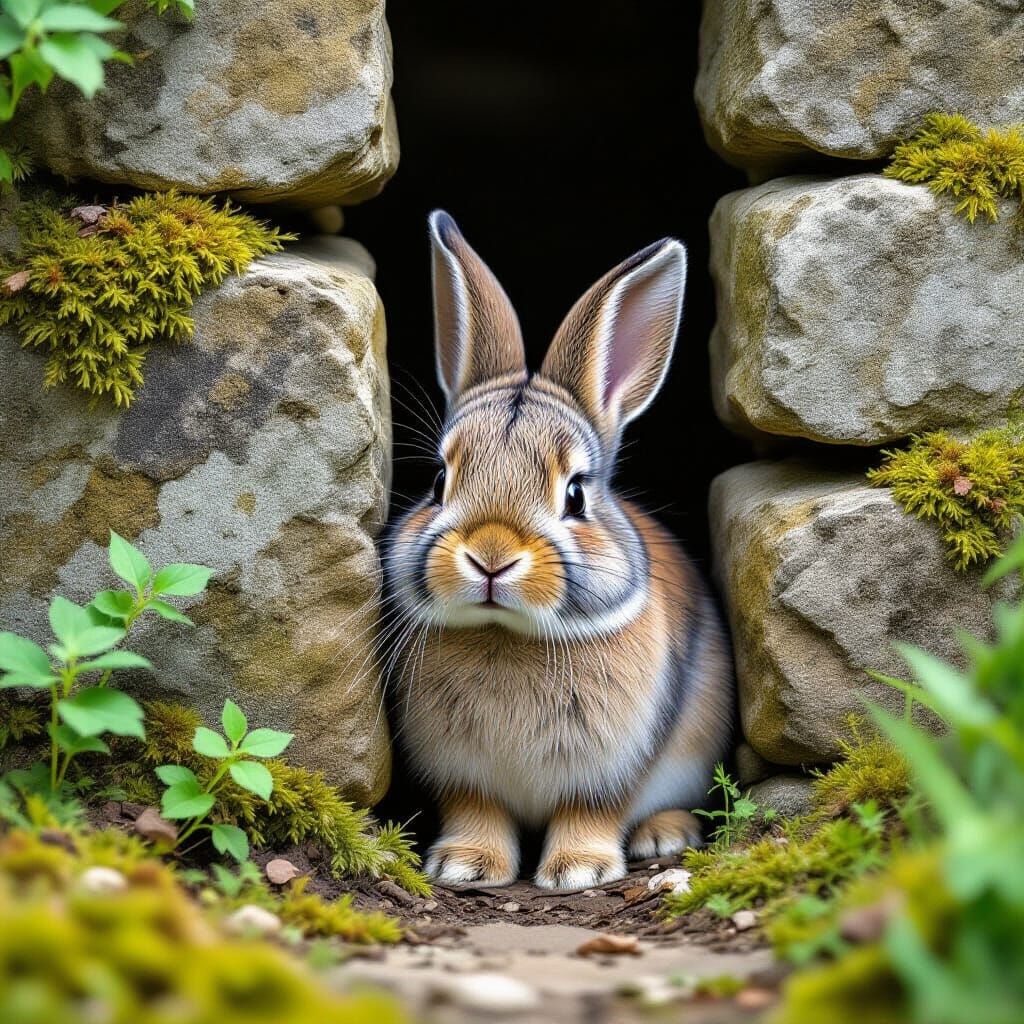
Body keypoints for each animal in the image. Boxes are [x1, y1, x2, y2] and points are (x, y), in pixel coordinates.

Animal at [385, 211, 733, 890]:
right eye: (439, 482)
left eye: (575, 494)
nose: (491, 556)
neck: (505, 632)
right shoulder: (463, 776)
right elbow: (477, 811)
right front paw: (465, 866)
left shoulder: (611, 767)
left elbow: (591, 811)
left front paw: (580, 872)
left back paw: (662, 835)